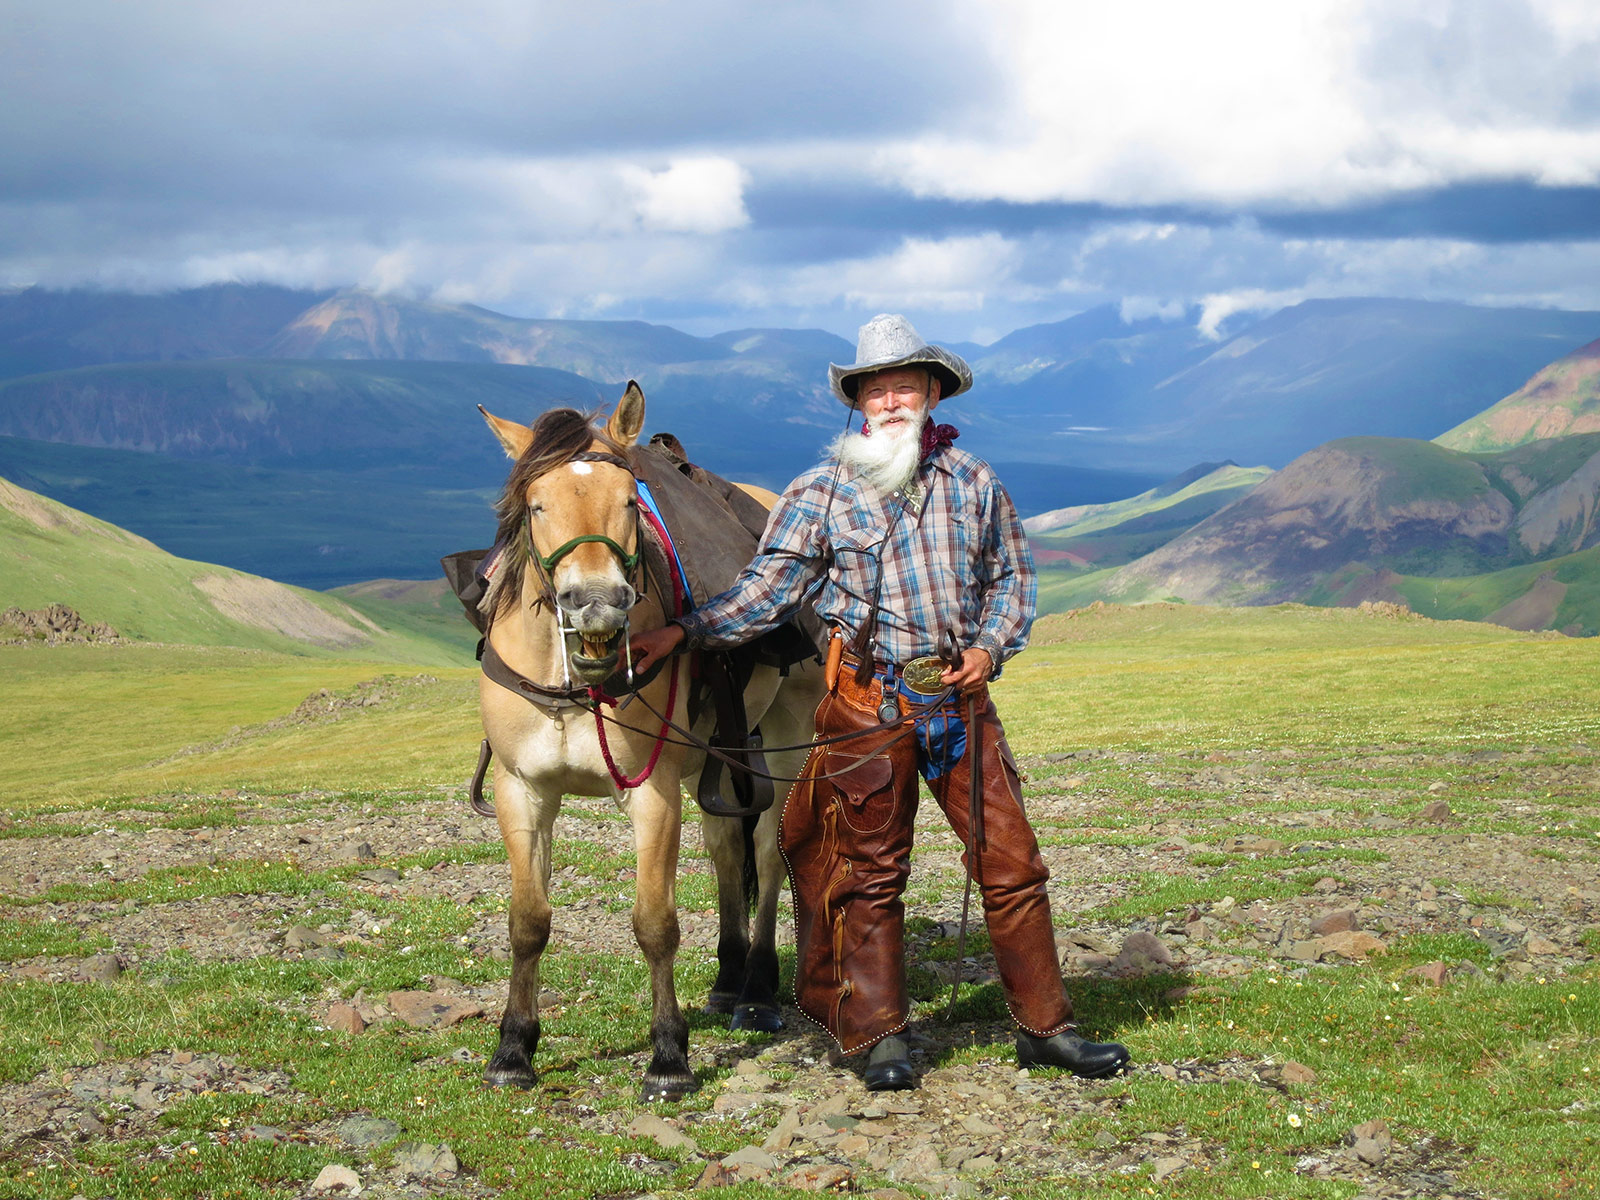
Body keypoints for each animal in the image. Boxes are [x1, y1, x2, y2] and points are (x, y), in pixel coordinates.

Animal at [473, 387, 825, 1107]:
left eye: (630, 500)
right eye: (536, 504)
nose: (597, 604)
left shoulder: (653, 792)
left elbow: (655, 923)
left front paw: (668, 1058)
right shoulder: (522, 790)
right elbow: (528, 921)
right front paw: (513, 1050)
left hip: (783, 738)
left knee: (767, 852)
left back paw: (756, 990)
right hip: (713, 756)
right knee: (726, 849)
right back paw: (726, 981)